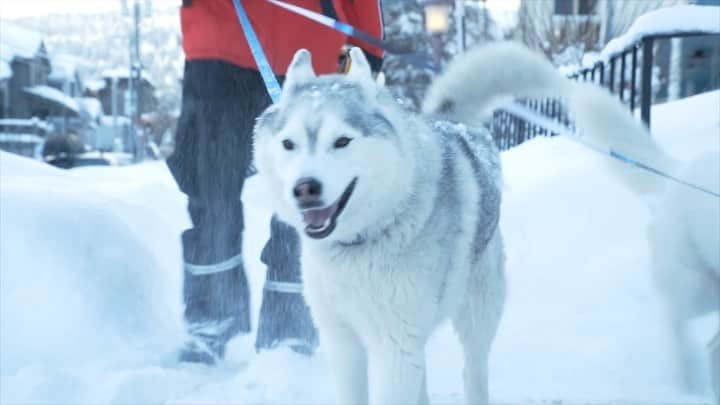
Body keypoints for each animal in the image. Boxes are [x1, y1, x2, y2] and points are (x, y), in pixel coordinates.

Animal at [253, 48, 506, 404]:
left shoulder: (395, 347)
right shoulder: (342, 342)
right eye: (289, 144)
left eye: (342, 141)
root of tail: (456, 124)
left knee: (473, 369)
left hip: (477, 311)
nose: (304, 188)